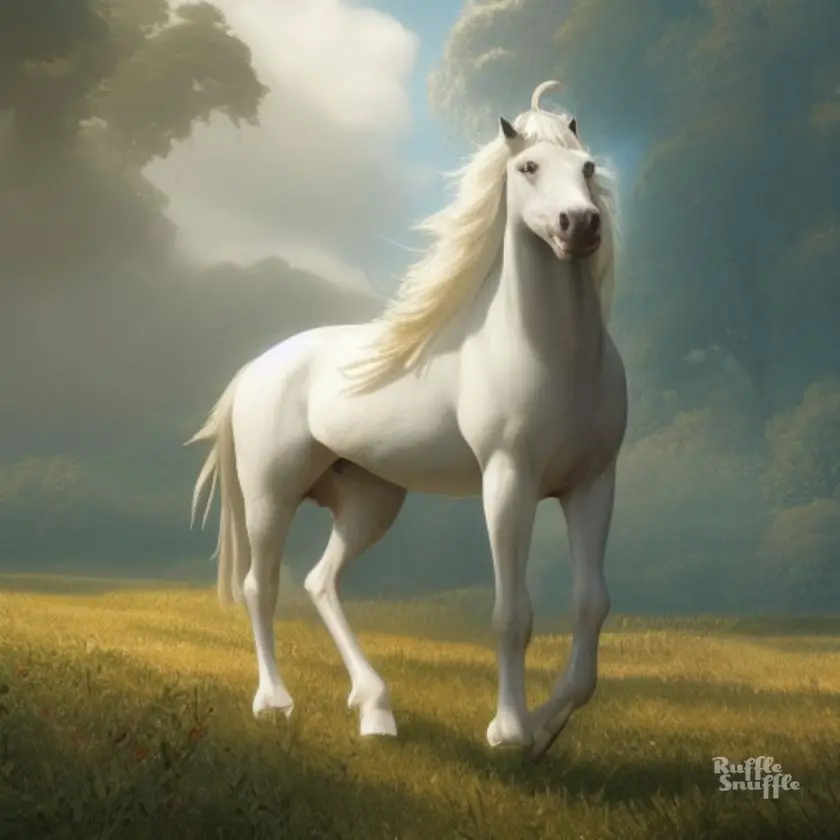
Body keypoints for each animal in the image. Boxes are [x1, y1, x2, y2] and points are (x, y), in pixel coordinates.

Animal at [187, 80, 627, 763]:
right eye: (528, 168)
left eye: (586, 167)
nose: (579, 226)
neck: (556, 357)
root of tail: (258, 366)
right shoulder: (508, 484)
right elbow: (512, 613)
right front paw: (508, 731)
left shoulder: (591, 486)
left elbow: (591, 606)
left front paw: (545, 728)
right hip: (270, 496)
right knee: (263, 587)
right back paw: (275, 703)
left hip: (372, 502)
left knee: (320, 581)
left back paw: (375, 708)